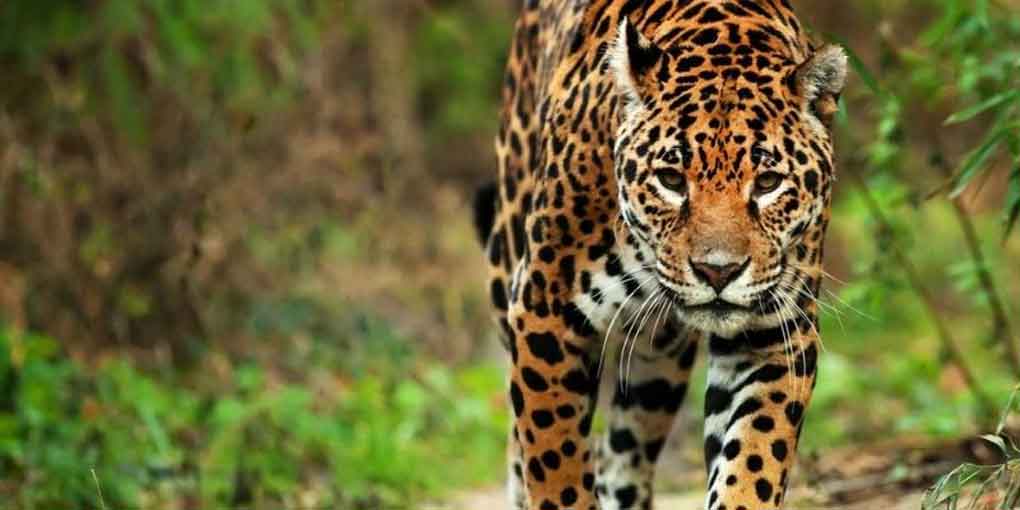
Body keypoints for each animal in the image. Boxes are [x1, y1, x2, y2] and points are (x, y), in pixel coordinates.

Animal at [473, 1, 847, 509]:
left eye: (769, 184)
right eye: (671, 179)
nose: (718, 271)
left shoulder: (774, 331)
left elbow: (754, 460)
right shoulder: (544, 313)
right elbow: (555, 460)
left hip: (657, 361)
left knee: (623, 454)